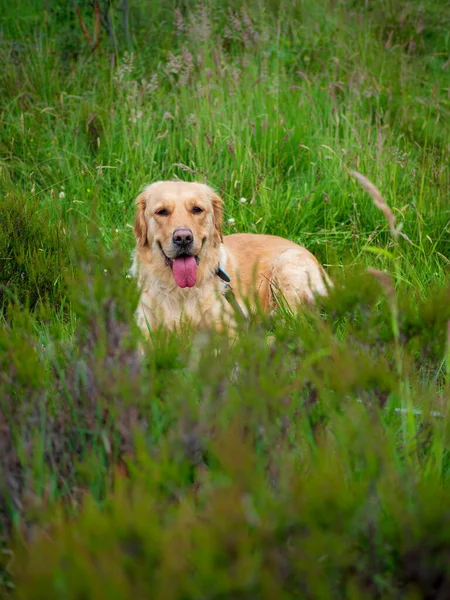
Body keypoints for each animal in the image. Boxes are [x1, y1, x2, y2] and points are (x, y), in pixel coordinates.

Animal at [130, 178, 330, 338]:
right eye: (162, 211)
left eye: (197, 209)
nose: (183, 238)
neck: (180, 291)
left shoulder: (229, 329)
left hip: (287, 265)